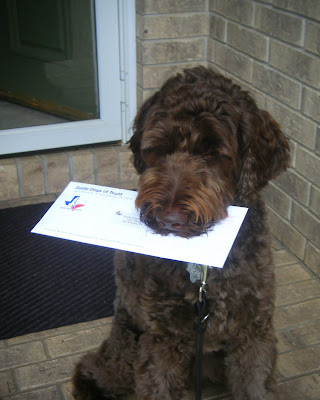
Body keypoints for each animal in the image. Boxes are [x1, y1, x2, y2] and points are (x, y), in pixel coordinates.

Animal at [72, 66, 290, 400]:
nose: (169, 219)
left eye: (215, 154)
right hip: (127, 346)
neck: (203, 270)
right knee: (95, 367)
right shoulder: (163, 339)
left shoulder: (254, 330)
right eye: (159, 150)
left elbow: (256, 384)